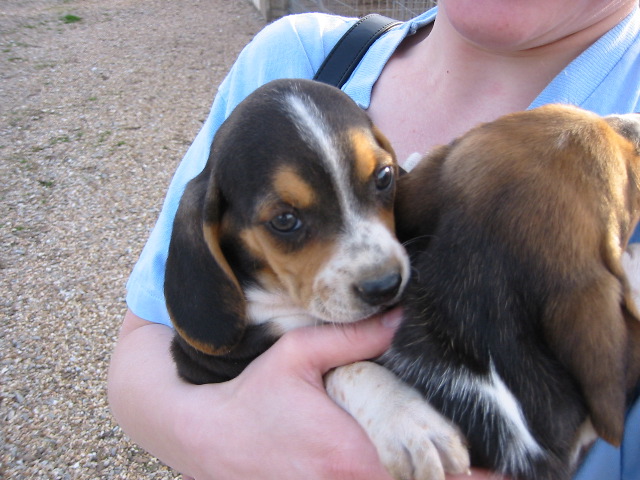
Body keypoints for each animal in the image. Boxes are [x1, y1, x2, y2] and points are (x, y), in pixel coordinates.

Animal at [162, 79, 468, 480]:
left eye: (384, 177)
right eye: (284, 221)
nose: (385, 285)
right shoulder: (230, 361)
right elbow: (349, 367)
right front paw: (409, 419)